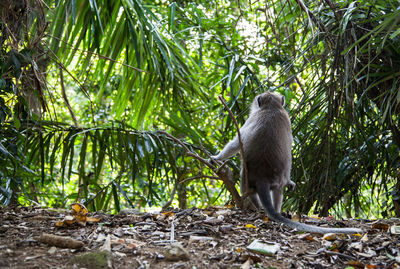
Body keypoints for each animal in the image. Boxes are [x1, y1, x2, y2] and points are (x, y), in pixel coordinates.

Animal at [212, 91, 362, 233]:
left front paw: (216, 157)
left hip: (250, 178)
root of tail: (262, 178)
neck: (272, 107)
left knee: (247, 185)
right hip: (275, 181)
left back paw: (259, 207)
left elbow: (237, 143)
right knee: (277, 191)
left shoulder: (252, 118)